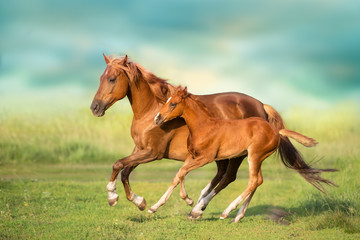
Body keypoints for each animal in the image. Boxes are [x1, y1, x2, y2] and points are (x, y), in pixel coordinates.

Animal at [153, 86, 336, 221]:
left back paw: (226, 212)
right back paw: (237, 216)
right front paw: (154, 207)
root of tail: (276, 131)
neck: (204, 126)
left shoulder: (206, 157)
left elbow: (182, 172)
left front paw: (189, 200)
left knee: (251, 180)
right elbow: (178, 175)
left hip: (253, 156)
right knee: (257, 181)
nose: (157, 119)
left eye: (173, 104)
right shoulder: (192, 155)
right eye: (166, 101)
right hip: (257, 158)